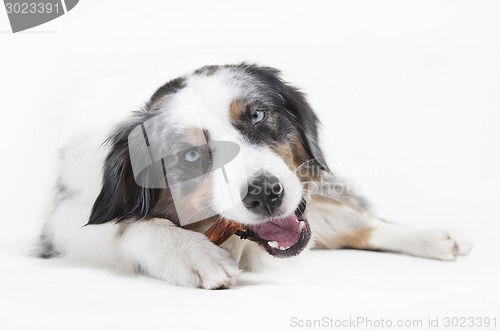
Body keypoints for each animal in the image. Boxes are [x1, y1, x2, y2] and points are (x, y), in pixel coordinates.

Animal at [39, 63, 472, 290]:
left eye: (258, 115)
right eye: (192, 155)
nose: (265, 194)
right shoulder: (62, 223)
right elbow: (127, 227)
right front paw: (190, 252)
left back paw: (436, 236)